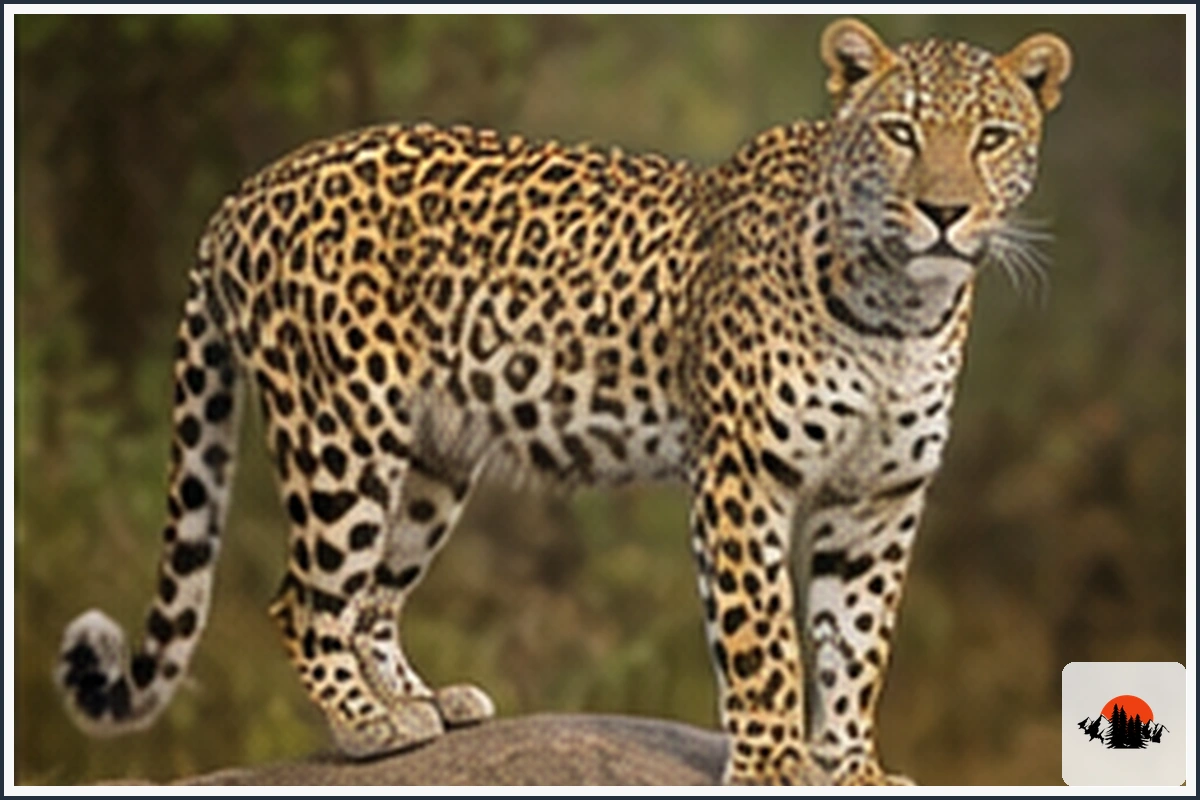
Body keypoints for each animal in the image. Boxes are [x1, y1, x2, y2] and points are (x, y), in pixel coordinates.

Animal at [54, 19, 1071, 785]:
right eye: (899, 131)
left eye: (991, 138)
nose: (944, 213)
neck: (902, 310)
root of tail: (246, 191)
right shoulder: (744, 478)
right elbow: (766, 643)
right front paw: (776, 766)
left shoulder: (878, 502)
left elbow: (856, 645)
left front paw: (853, 768)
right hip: (340, 433)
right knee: (301, 599)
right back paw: (367, 727)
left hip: (431, 460)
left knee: (371, 598)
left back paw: (421, 703)